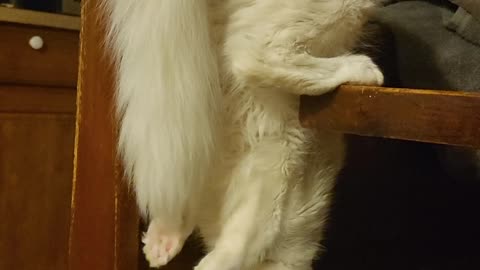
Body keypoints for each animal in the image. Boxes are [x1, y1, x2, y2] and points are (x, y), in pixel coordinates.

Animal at [103, 1, 384, 268]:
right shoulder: (270, 196)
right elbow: (228, 254)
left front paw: (163, 239)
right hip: (340, 12)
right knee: (255, 52)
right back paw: (361, 68)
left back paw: (161, 241)